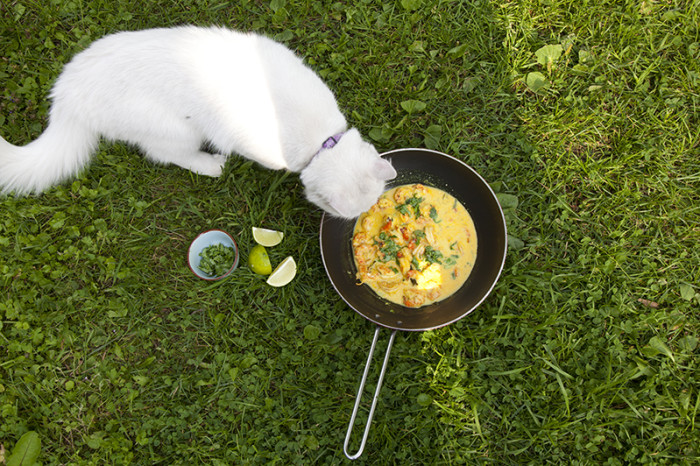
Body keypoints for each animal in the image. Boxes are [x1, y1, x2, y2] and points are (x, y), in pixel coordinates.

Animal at [0, 26, 394, 218]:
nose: (361, 220)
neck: (321, 142)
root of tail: (67, 94)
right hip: (176, 130)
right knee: (165, 155)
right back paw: (211, 165)